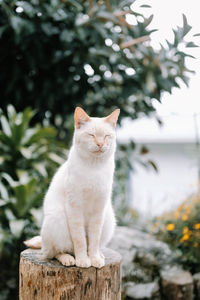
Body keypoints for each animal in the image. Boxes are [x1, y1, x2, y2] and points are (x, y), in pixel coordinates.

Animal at [24, 108, 119, 270]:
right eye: (91, 135)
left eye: (107, 136)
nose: (100, 144)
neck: (94, 167)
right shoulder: (75, 208)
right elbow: (80, 240)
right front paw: (83, 260)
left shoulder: (98, 211)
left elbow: (93, 241)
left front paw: (94, 258)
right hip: (56, 218)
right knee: (55, 252)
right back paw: (69, 259)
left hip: (108, 219)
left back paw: (99, 255)